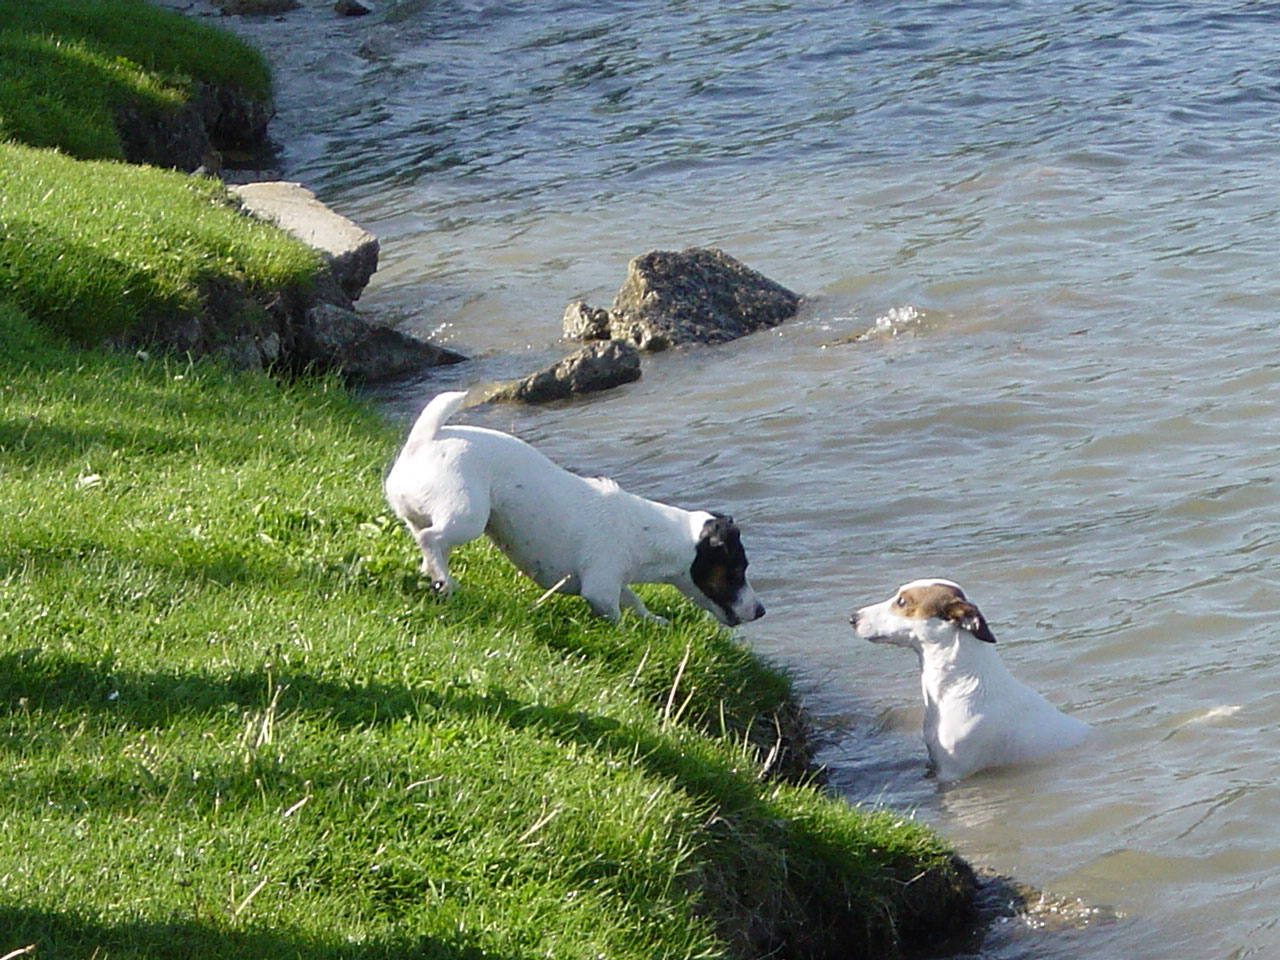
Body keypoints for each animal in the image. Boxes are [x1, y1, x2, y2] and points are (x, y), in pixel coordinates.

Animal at [384, 391, 762, 627]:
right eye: (736, 571)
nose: (760, 611)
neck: (650, 532)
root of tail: (423, 442)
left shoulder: (613, 582)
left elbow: (634, 601)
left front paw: (655, 621)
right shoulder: (600, 589)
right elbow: (616, 615)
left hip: (430, 515)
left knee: (426, 540)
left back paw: (433, 575)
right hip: (468, 517)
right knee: (432, 539)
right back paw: (447, 582)